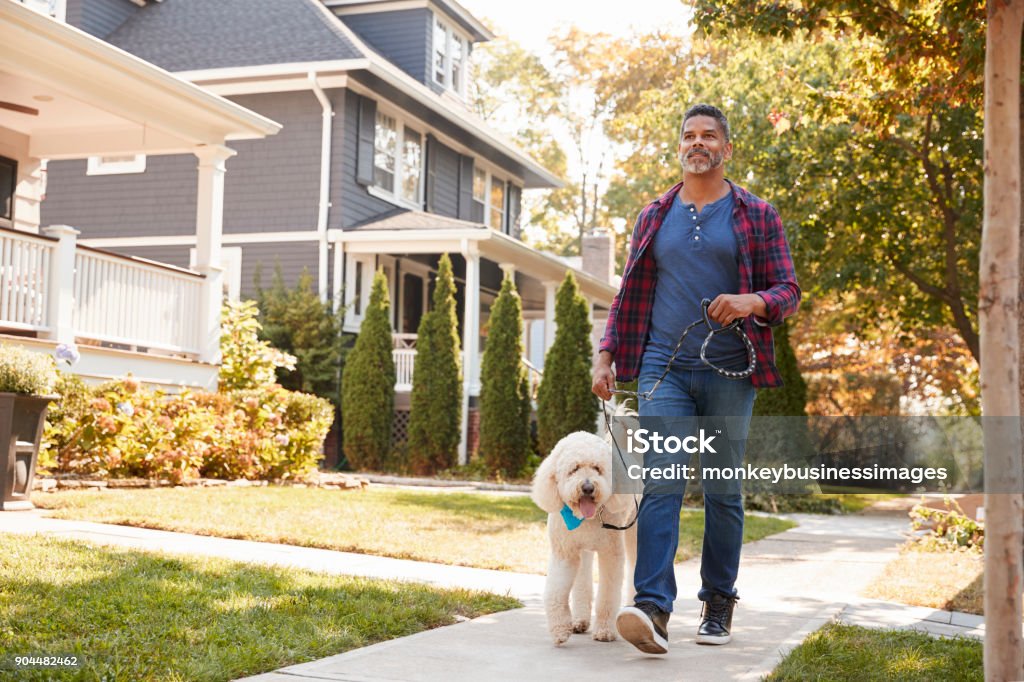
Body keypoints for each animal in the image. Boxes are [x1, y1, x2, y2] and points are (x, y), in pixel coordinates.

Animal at [532, 428, 634, 647]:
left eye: (597, 468)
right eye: (574, 469)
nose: (588, 488)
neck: (584, 518)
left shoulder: (611, 554)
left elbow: (608, 595)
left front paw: (604, 631)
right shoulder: (565, 554)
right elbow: (555, 592)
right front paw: (560, 629)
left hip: (634, 534)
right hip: (583, 551)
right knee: (582, 582)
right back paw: (580, 620)